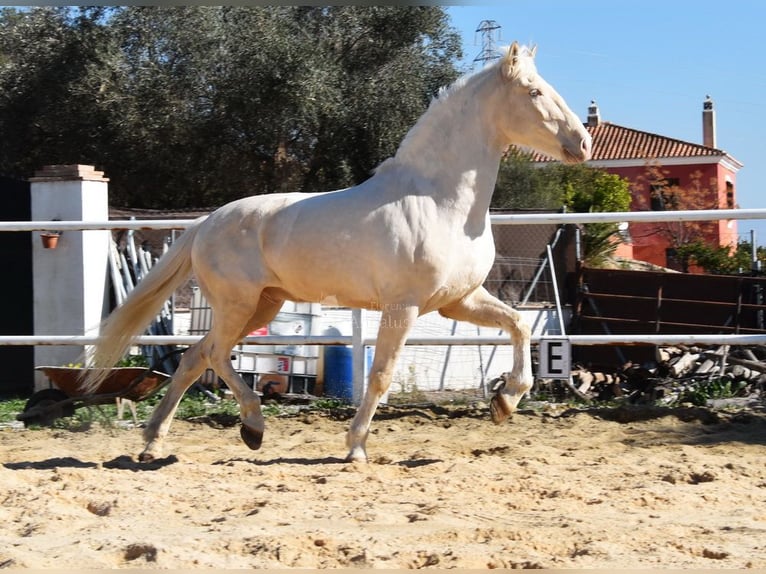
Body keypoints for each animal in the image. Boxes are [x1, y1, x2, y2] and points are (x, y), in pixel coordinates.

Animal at [87, 41, 596, 464]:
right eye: (534, 91)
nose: (584, 143)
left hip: (262, 305)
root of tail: (205, 223)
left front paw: (504, 401)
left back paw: (155, 443)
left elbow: (519, 327)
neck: (441, 201)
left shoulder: (458, 301)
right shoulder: (403, 307)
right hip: (238, 305)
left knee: (196, 357)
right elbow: (382, 375)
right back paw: (252, 426)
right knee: (213, 355)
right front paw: (355, 448)